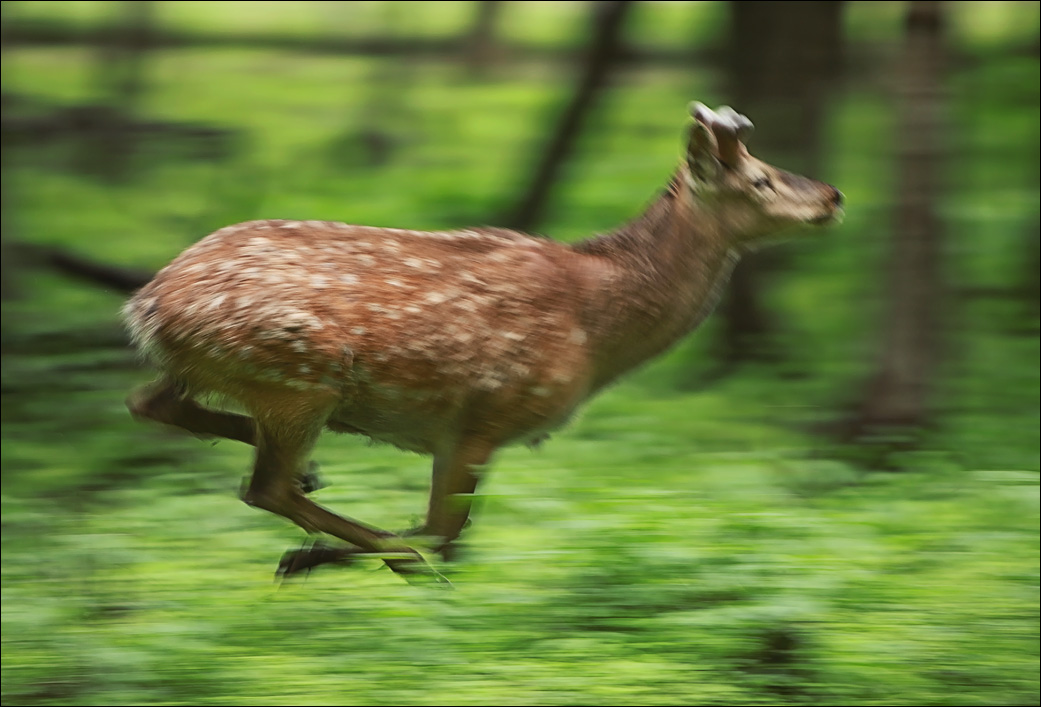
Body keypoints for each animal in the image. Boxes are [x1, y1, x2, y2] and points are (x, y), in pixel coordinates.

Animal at [125, 103, 845, 578]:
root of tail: (147, 305)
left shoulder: (461, 432)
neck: (596, 324)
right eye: (760, 179)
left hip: (237, 376)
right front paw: (359, 562)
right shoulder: (482, 415)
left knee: (153, 405)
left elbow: (449, 531)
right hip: (298, 377)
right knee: (264, 486)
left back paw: (317, 494)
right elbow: (447, 534)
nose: (833, 195)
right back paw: (346, 546)